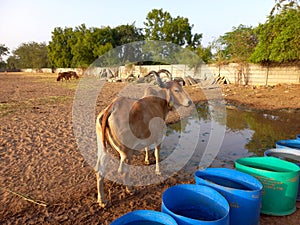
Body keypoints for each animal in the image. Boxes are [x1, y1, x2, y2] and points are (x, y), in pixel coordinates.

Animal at [94, 70, 192, 207]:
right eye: (176, 90)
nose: (189, 102)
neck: (160, 102)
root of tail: (112, 107)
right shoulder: (159, 137)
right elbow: (157, 154)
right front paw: (158, 171)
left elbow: (146, 148)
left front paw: (146, 160)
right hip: (126, 152)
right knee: (123, 170)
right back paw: (130, 189)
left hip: (102, 148)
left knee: (99, 170)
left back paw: (102, 200)